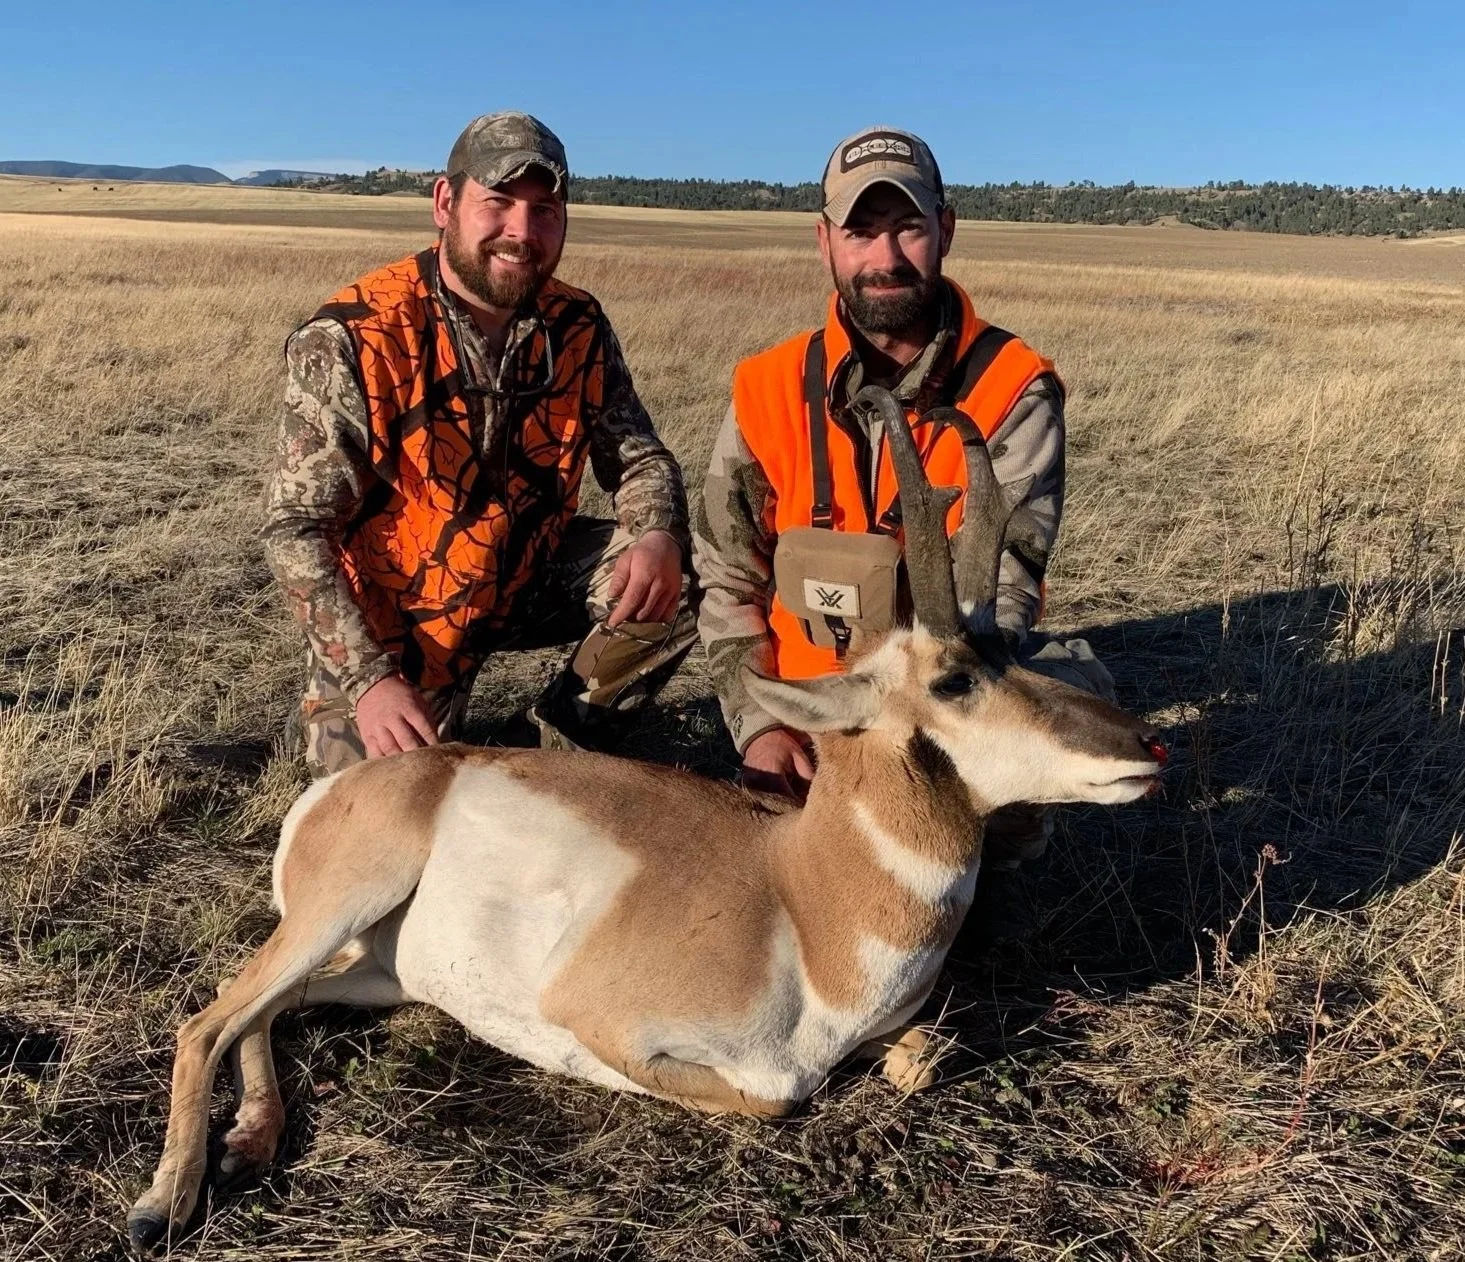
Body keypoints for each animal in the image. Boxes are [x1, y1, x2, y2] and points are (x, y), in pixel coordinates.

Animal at [127, 388, 1166, 1255]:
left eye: (1013, 649)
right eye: (953, 678)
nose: (1145, 746)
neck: (803, 895)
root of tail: (367, 779)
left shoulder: (889, 1030)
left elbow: (921, 1056)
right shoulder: (617, 1024)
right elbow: (773, 1095)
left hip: (377, 971)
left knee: (264, 1009)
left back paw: (252, 1140)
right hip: (342, 905)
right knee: (206, 1019)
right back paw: (162, 1203)